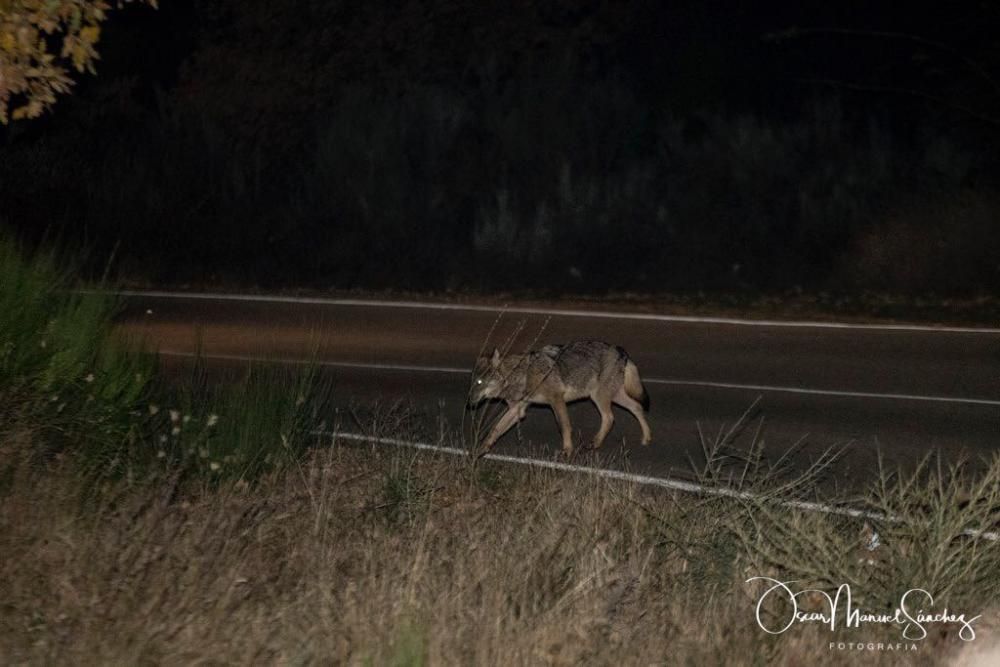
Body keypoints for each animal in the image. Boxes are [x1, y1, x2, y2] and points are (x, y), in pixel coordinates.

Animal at [466, 342, 652, 456]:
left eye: (479, 382)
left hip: (598, 397)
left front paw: (567, 451)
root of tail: (621, 350)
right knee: (637, 407)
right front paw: (480, 450)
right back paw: (646, 438)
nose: (469, 404)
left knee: (610, 418)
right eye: (472, 382)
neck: (523, 374)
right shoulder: (517, 410)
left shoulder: (556, 399)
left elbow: (564, 426)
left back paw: (595, 443)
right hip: (614, 396)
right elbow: (495, 429)